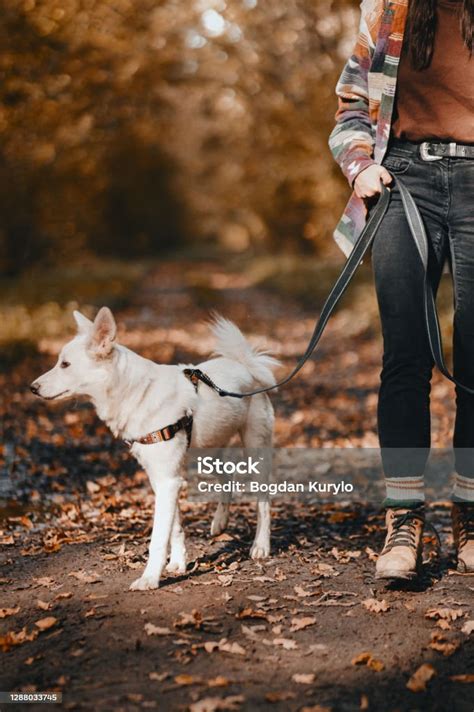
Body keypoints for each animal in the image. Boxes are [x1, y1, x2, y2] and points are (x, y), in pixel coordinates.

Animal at [31, 306, 278, 588]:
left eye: (65, 364)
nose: (33, 388)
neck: (135, 391)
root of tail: (244, 365)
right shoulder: (162, 479)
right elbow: (175, 528)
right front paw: (178, 563)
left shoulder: (168, 480)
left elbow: (159, 538)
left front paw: (149, 578)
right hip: (205, 451)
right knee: (228, 476)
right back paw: (220, 522)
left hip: (255, 450)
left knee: (263, 501)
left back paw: (260, 546)